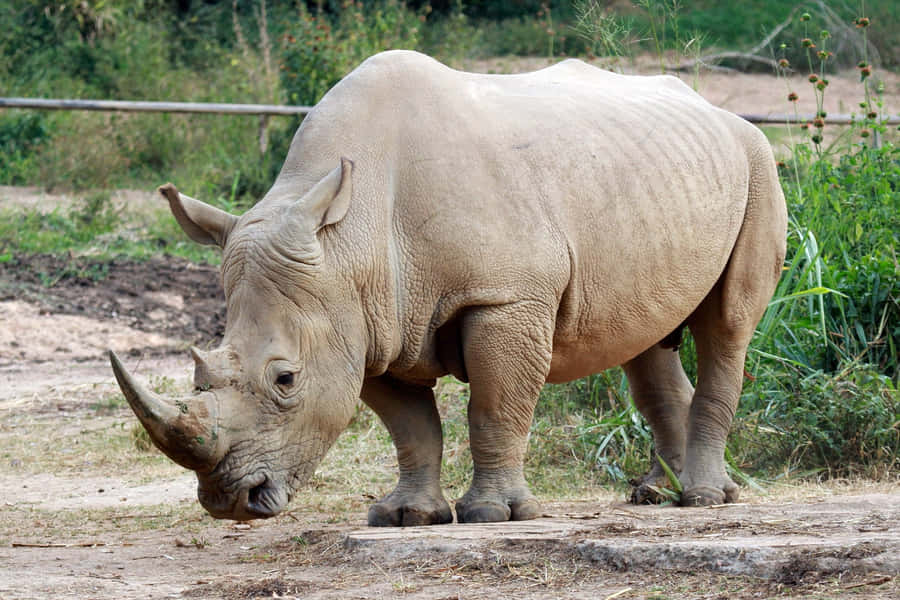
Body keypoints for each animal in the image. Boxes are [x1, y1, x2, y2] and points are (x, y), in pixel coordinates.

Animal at [109, 50, 786, 525]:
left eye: (285, 379)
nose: (230, 501)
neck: (350, 243)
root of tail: (719, 112)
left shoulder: (505, 298)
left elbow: (494, 406)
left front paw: (495, 515)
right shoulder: (368, 322)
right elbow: (411, 428)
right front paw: (407, 516)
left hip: (758, 162)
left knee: (727, 325)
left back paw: (702, 499)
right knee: (645, 341)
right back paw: (655, 495)